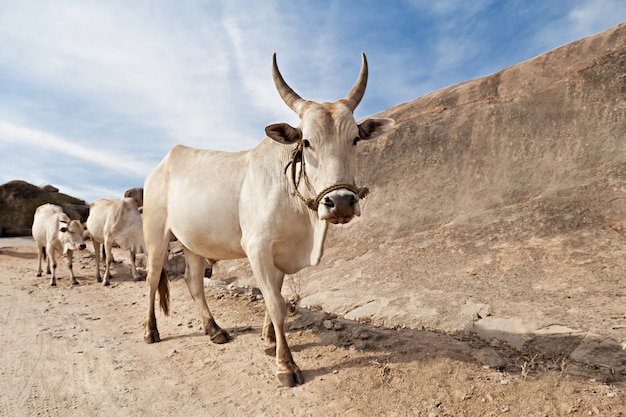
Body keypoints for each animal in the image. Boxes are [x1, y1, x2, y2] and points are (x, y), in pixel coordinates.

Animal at [144, 52, 392, 386]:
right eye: (306, 142)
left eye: (354, 139)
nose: (340, 202)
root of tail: (161, 166)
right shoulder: (257, 248)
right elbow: (276, 303)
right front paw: (285, 364)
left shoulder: (279, 254)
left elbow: (276, 294)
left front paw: (269, 340)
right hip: (156, 236)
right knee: (152, 277)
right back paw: (151, 331)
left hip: (192, 243)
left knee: (193, 282)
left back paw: (214, 330)